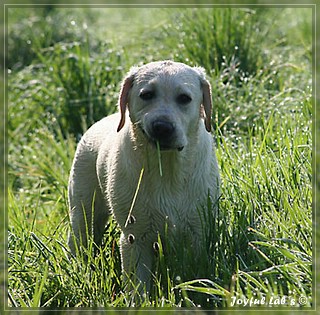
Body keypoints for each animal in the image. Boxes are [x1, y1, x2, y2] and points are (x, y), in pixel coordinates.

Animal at [68, 60, 220, 292]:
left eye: (184, 98)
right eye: (146, 95)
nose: (162, 127)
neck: (165, 166)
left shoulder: (199, 231)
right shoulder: (135, 237)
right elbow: (137, 287)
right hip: (84, 212)